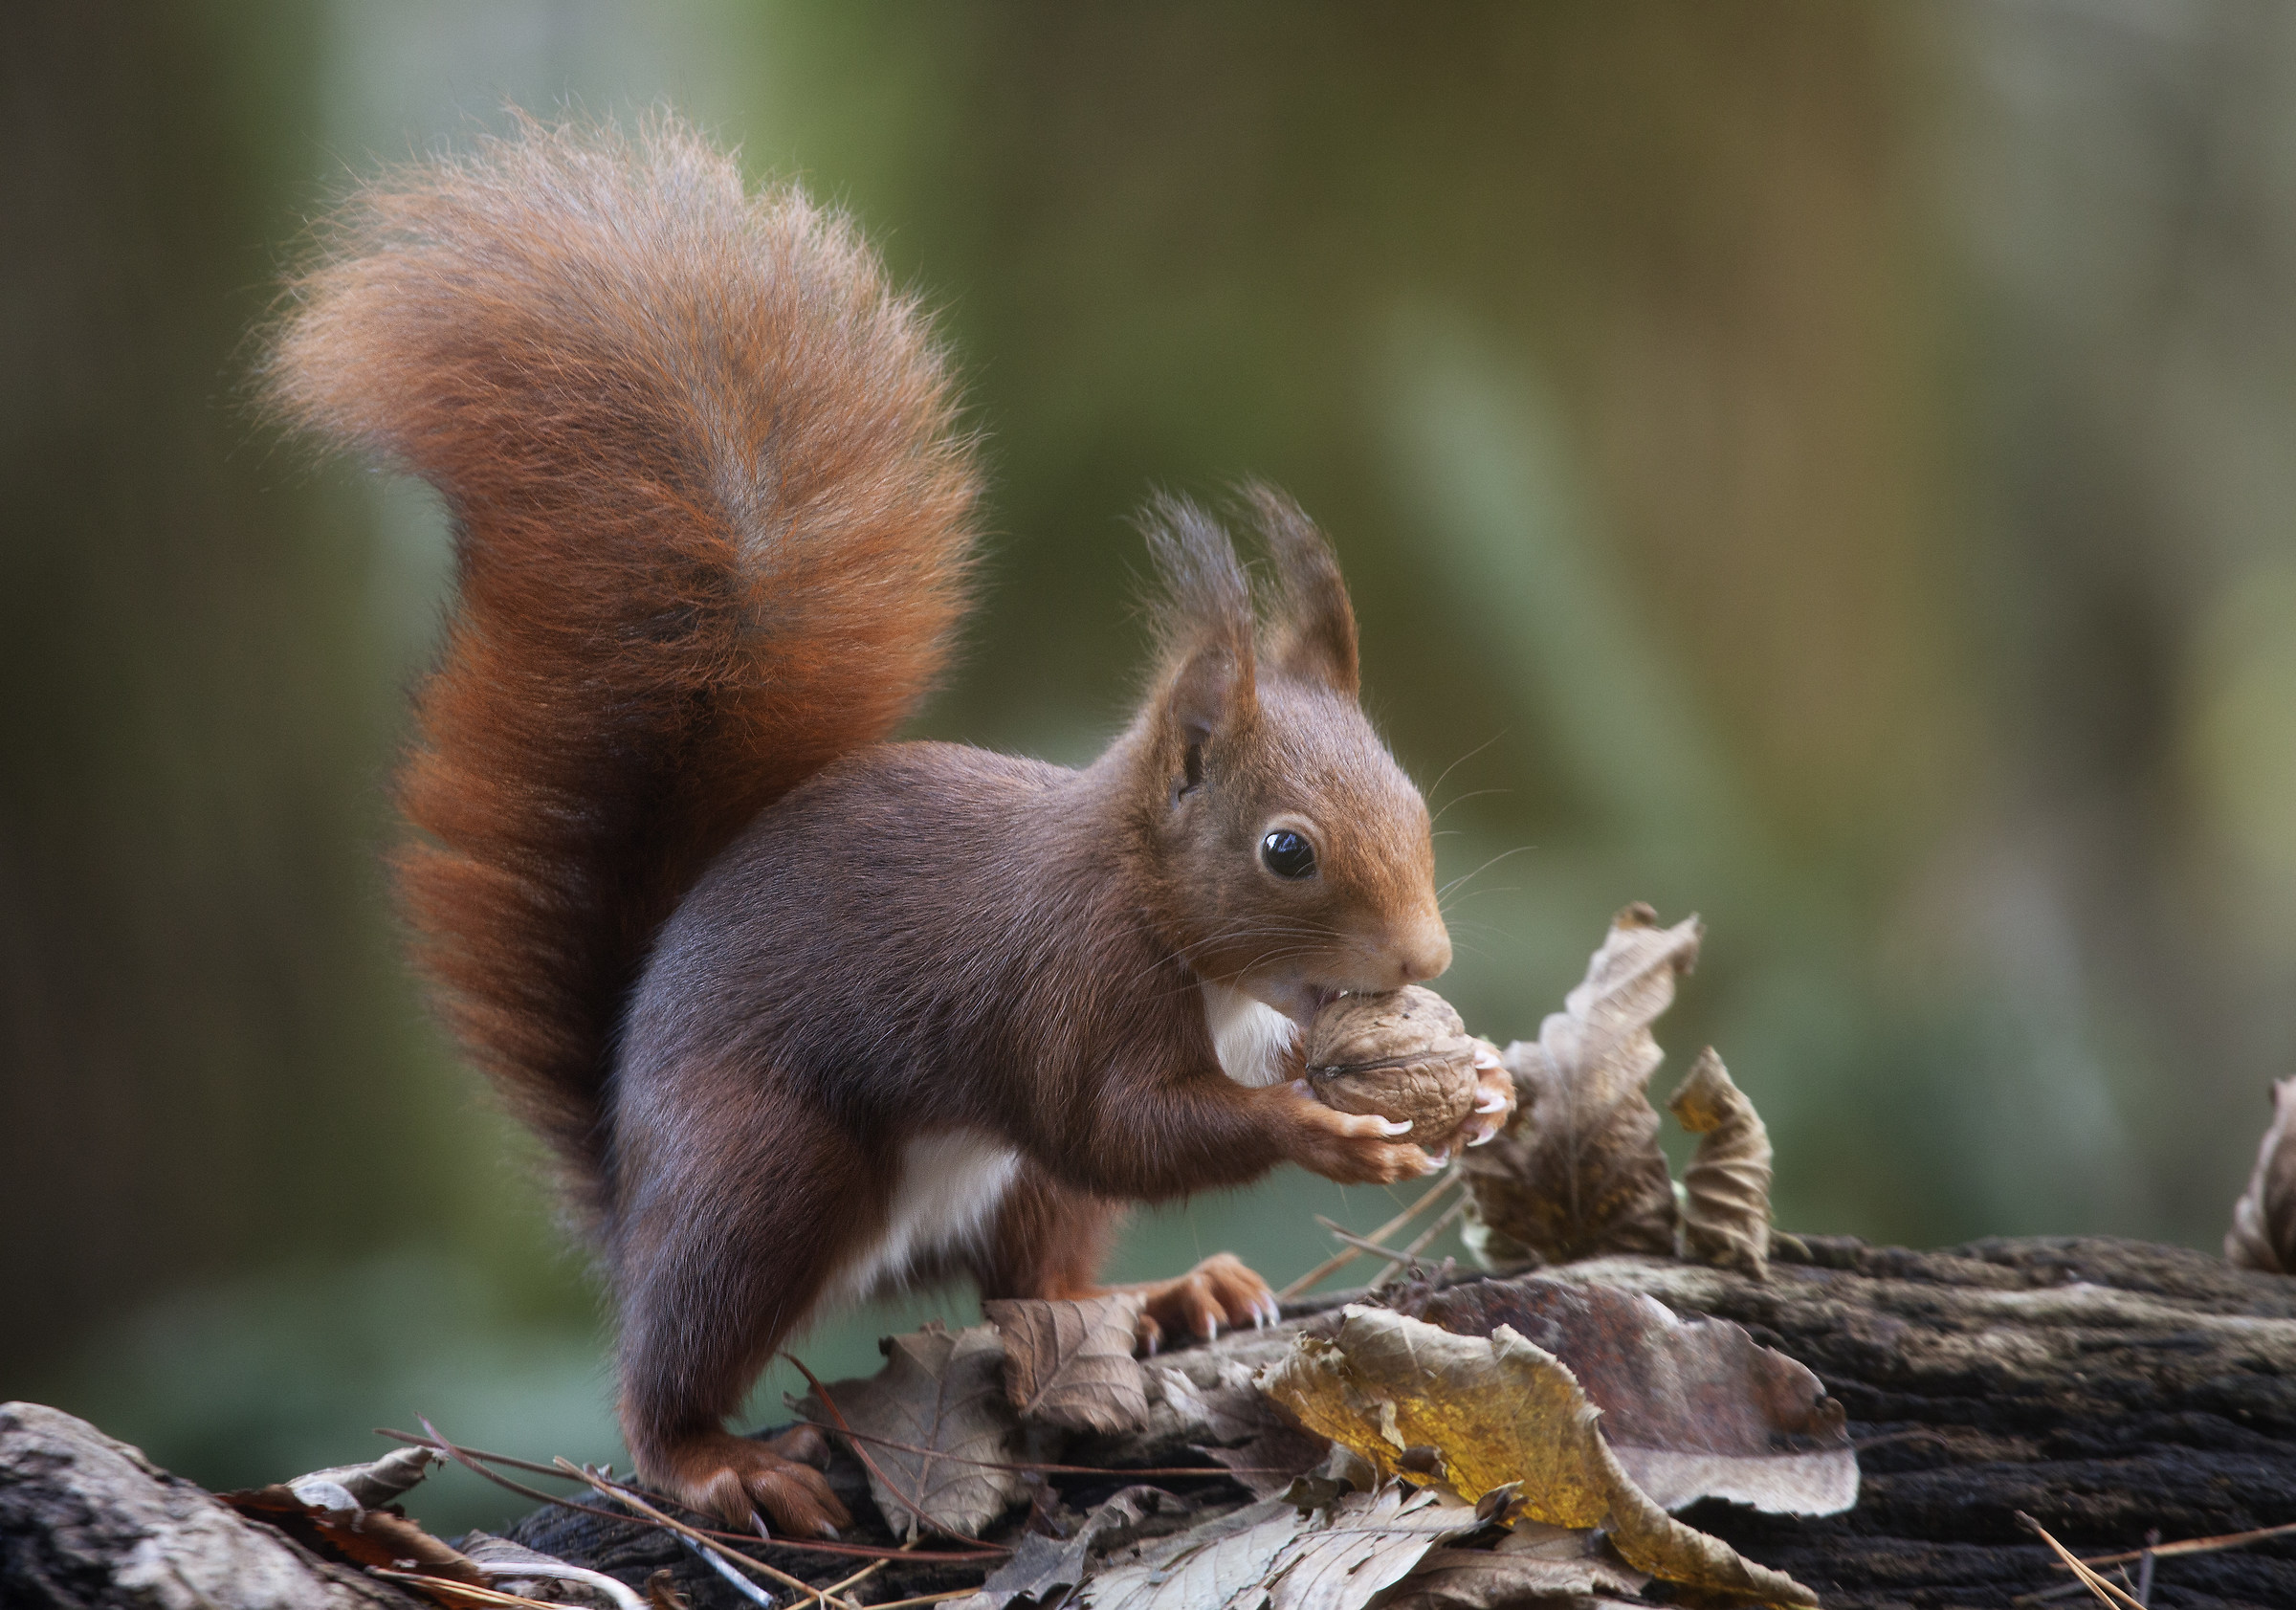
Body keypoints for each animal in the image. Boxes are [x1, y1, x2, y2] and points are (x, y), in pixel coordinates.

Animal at [265, 113, 1509, 1539]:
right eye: (1286, 850)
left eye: (1415, 802)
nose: (1423, 960)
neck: (1162, 913)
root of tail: (628, 1179)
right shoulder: (1065, 986)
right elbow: (1120, 1125)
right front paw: (1322, 1129)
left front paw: (1479, 1079)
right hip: (761, 1175)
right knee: (674, 1362)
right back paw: (718, 1459)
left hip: (1007, 1192)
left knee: (1030, 1282)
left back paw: (1158, 1297)